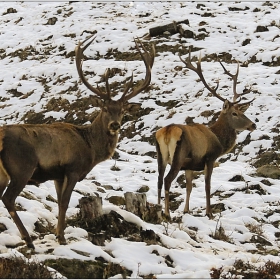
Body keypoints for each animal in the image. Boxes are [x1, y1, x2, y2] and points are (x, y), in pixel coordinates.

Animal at [155, 50, 256, 221]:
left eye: (242, 111)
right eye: (234, 113)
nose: (253, 125)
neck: (219, 141)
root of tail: (168, 132)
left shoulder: (189, 165)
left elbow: (189, 186)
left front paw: (186, 210)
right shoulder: (210, 158)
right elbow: (207, 184)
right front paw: (209, 212)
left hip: (160, 156)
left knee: (159, 180)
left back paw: (157, 209)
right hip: (178, 156)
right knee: (167, 180)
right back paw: (167, 213)